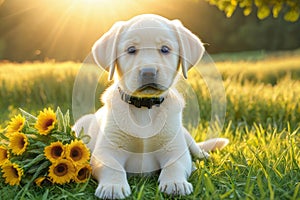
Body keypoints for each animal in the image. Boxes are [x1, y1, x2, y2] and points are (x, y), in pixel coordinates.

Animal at [74, 13, 229, 198]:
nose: (148, 72)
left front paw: (175, 183)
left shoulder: (175, 148)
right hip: (80, 125)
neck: (144, 107)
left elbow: (175, 164)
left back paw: (204, 156)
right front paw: (112, 186)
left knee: (196, 149)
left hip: (184, 134)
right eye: (131, 50)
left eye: (165, 49)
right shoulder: (107, 150)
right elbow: (113, 166)